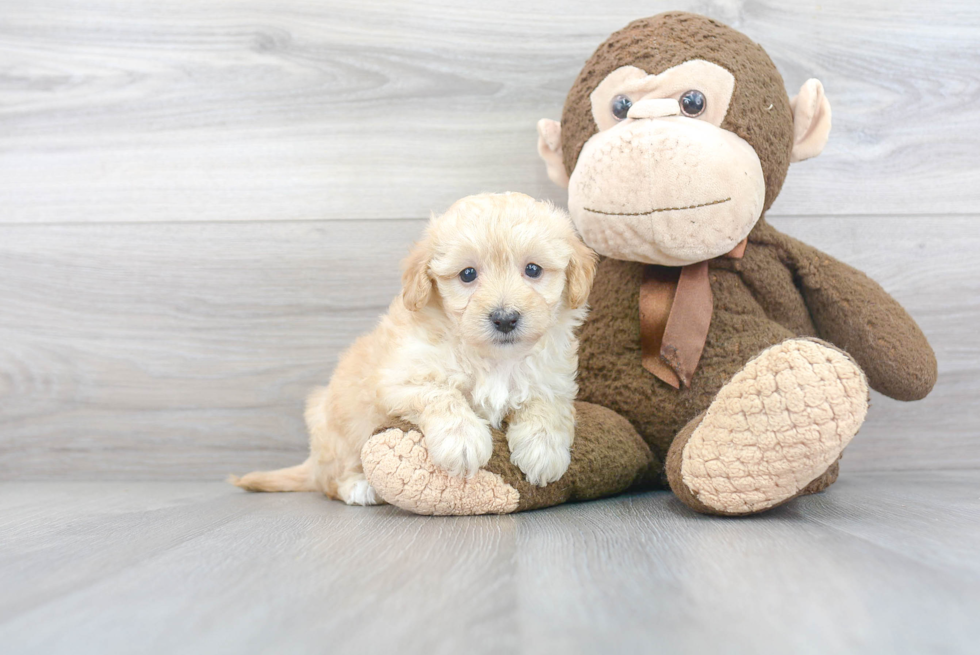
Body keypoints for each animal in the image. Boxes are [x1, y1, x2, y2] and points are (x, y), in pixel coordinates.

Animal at [231, 192, 596, 504]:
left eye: (533, 269)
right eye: (467, 274)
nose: (505, 319)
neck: (493, 359)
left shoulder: (553, 380)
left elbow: (546, 405)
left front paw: (543, 451)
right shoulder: (398, 379)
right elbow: (440, 394)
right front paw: (463, 441)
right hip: (336, 427)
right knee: (330, 481)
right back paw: (359, 487)